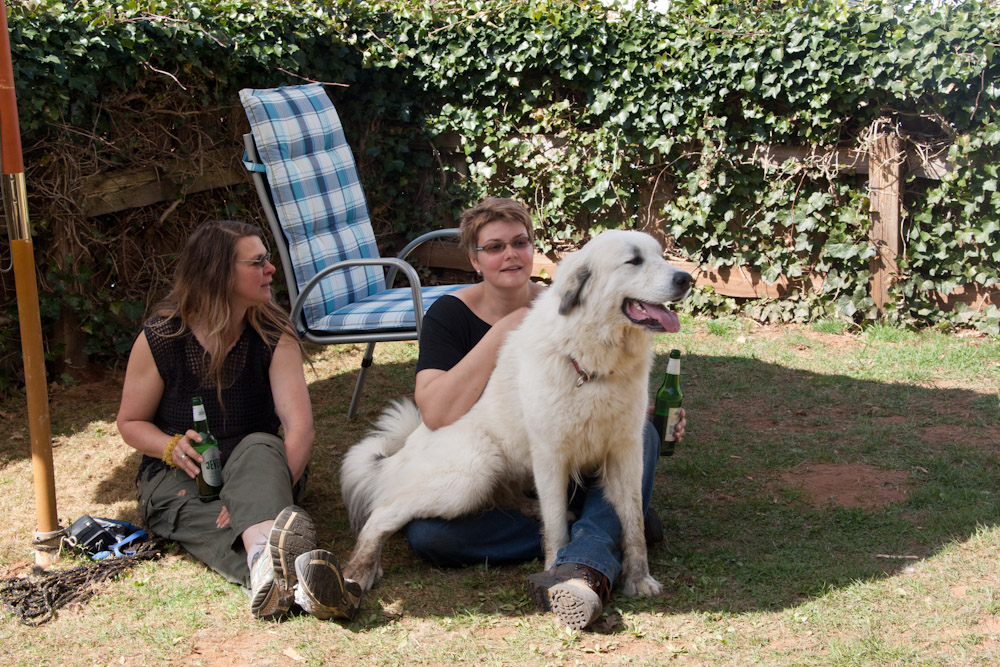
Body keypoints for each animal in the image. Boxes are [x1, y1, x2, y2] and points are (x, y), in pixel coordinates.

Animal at [340, 232, 692, 596]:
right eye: (634, 260)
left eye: (661, 256)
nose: (687, 279)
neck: (594, 364)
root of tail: (406, 447)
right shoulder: (551, 455)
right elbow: (556, 528)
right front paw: (556, 573)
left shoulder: (626, 449)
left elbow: (633, 523)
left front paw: (637, 577)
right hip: (471, 472)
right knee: (382, 514)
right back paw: (359, 570)